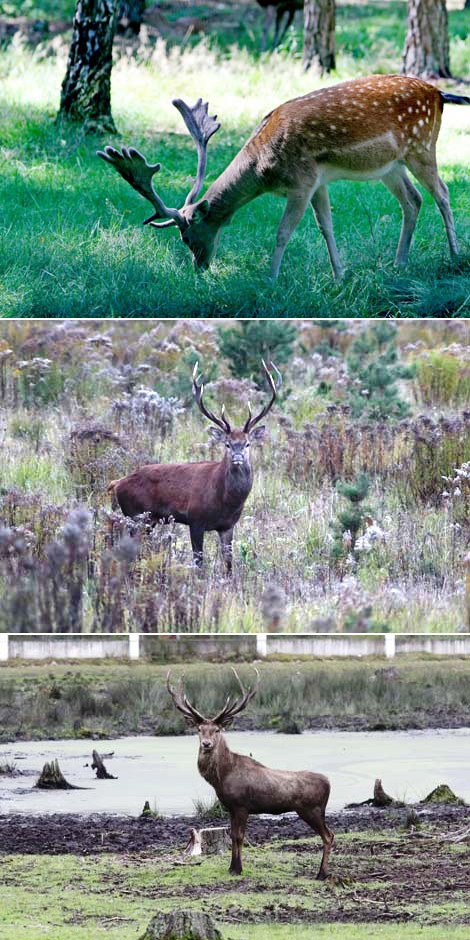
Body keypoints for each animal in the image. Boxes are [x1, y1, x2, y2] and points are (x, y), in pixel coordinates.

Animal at [97, 74, 468, 280]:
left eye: (186, 237)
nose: (199, 268)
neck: (265, 169)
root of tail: (438, 94)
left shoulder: (301, 181)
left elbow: (283, 232)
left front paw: (271, 278)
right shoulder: (318, 181)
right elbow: (326, 226)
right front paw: (339, 276)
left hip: (422, 146)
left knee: (443, 193)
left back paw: (454, 256)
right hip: (391, 165)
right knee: (413, 200)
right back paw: (399, 262)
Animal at [108, 362, 280, 572]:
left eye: (247, 444)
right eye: (227, 444)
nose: (237, 457)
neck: (225, 500)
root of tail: (117, 483)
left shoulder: (228, 526)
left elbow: (229, 564)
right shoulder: (195, 519)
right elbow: (198, 562)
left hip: (145, 519)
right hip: (136, 515)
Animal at [166, 668, 334, 880]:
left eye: (217, 729)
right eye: (199, 729)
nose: (206, 744)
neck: (222, 777)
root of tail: (329, 782)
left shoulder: (242, 805)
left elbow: (239, 836)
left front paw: (237, 868)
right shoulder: (230, 807)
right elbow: (232, 835)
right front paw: (231, 867)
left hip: (311, 809)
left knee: (328, 835)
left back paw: (321, 873)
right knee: (330, 834)